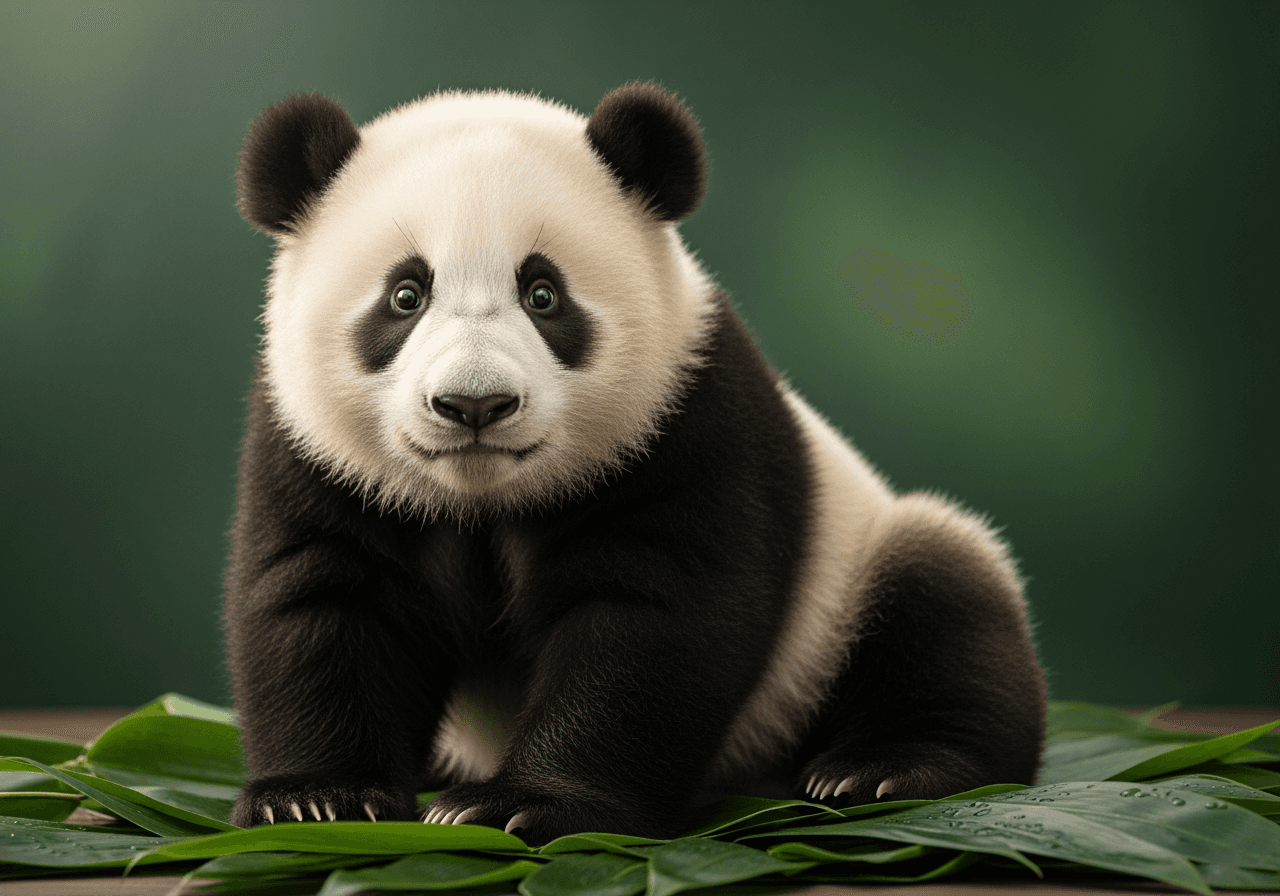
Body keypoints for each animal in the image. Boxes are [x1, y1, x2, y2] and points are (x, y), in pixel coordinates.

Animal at [224, 82, 1046, 845]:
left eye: (543, 293)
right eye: (405, 295)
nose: (474, 405)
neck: (483, 498)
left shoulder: (682, 420)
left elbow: (649, 617)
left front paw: (523, 806)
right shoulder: (313, 450)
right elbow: (323, 599)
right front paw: (319, 798)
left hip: (848, 587)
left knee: (942, 602)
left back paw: (883, 769)